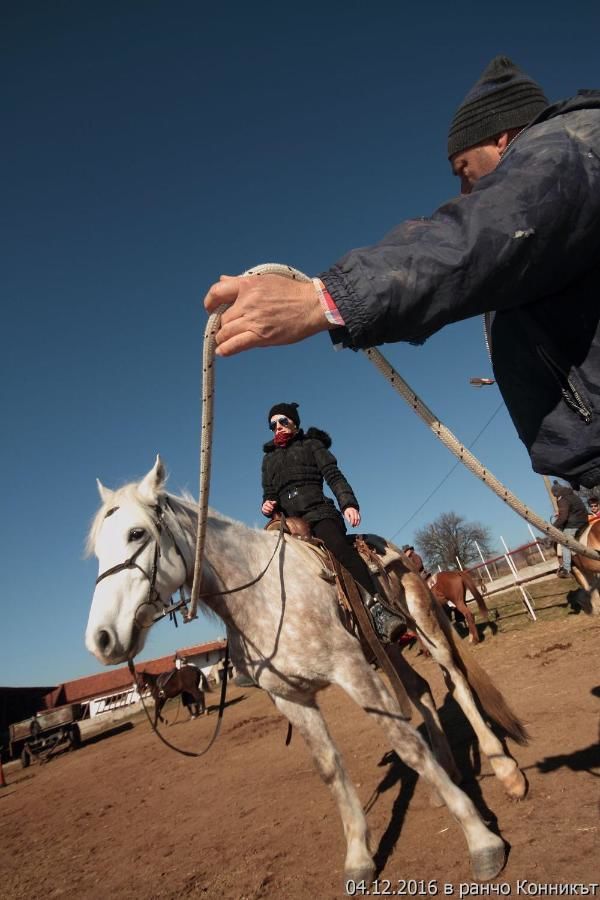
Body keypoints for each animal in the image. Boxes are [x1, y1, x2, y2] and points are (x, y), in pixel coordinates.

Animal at [84, 458, 524, 884]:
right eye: (98, 549)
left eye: (136, 533)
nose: (101, 640)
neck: (262, 596)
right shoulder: (291, 698)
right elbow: (330, 770)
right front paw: (359, 858)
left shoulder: (352, 670)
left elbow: (407, 745)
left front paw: (482, 842)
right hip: (388, 647)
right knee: (421, 690)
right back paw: (448, 772)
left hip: (424, 625)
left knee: (456, 681)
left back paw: (507, 771)